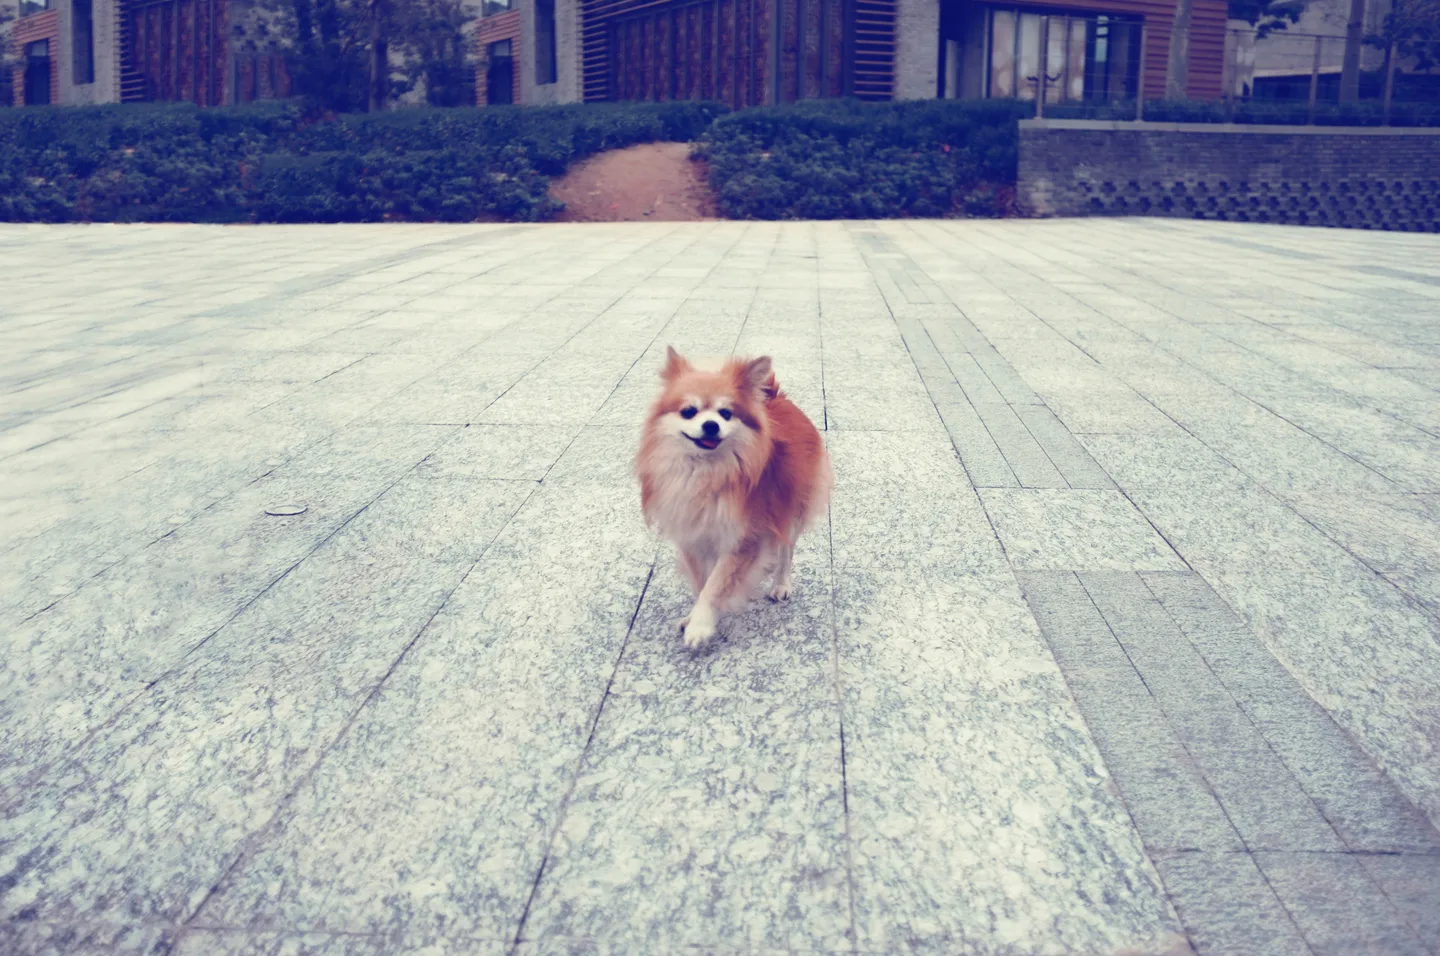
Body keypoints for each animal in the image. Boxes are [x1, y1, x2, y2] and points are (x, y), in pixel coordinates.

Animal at [635, 346, 831, 650]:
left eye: (726, 413)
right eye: (688, 412)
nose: (711, 425)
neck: (706, 472)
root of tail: (776, 397)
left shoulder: (743, 539)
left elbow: (716, 584)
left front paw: (701, 625)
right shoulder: (692, 538)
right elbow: (702, 582)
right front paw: (694, 617)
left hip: (792, 508)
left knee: (786, 550)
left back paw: (781, 583)